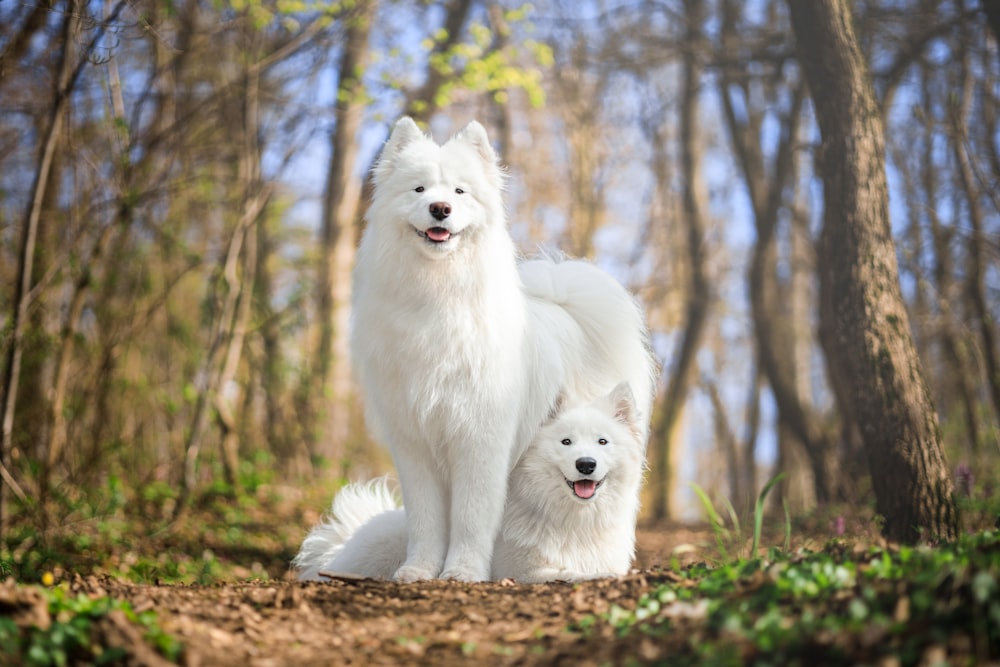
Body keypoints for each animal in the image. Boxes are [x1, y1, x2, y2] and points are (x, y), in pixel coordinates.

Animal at [292, 384, 644, 580]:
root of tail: (344, 538)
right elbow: (567, 573)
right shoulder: (521, 569)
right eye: (566, 442)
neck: (573, 521)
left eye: (602, 442)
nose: (586, 464)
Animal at [348, 117, 652, 580]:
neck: (437, 299)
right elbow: (425, 518)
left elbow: (472, 516)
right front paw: (419, 570)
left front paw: (463, 572)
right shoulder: (413, 442)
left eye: (459, 192)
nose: (440, 209)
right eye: (419, 189)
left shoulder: (480, 438)